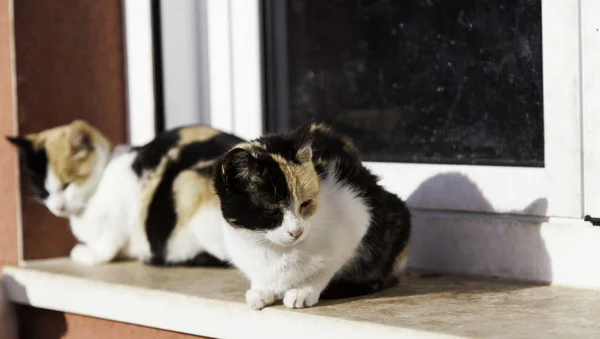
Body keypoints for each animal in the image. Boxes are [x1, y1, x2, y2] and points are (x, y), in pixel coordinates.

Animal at [6, 121, 241, 266]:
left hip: (188, 188)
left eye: (67, 185)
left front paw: (87, 253)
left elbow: (108, 244)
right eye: (43, 191)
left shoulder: (120, 211)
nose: (58, 207)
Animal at [213, 123, 410, 310]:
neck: (277, 250)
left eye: (305, 203)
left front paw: (303, 290)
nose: (296, 232)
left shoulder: (358, 216)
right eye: (271, 211)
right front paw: (261, 290)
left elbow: (325, 267)